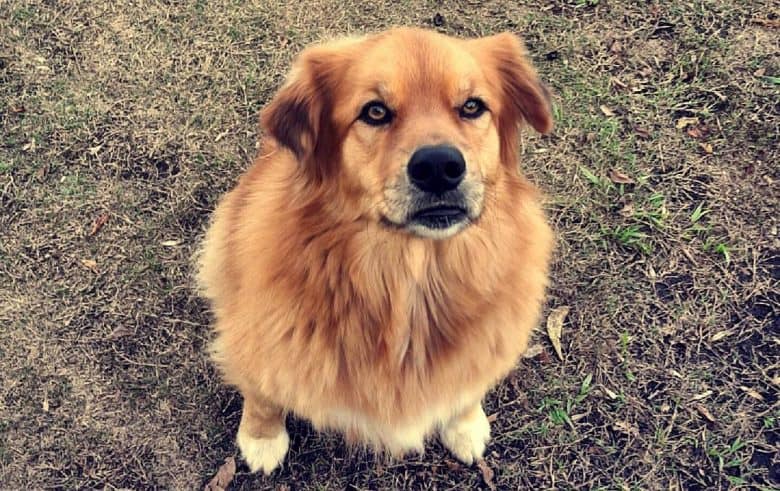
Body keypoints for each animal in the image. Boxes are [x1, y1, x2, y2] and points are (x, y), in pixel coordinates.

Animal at [200, 27, 556, 476]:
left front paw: (465, 423)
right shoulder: (259, 338)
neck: (409, 283)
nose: (439, 166)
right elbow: (262, 393)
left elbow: (467, 385)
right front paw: (261, 437)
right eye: (375, 112)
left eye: (473, 106)